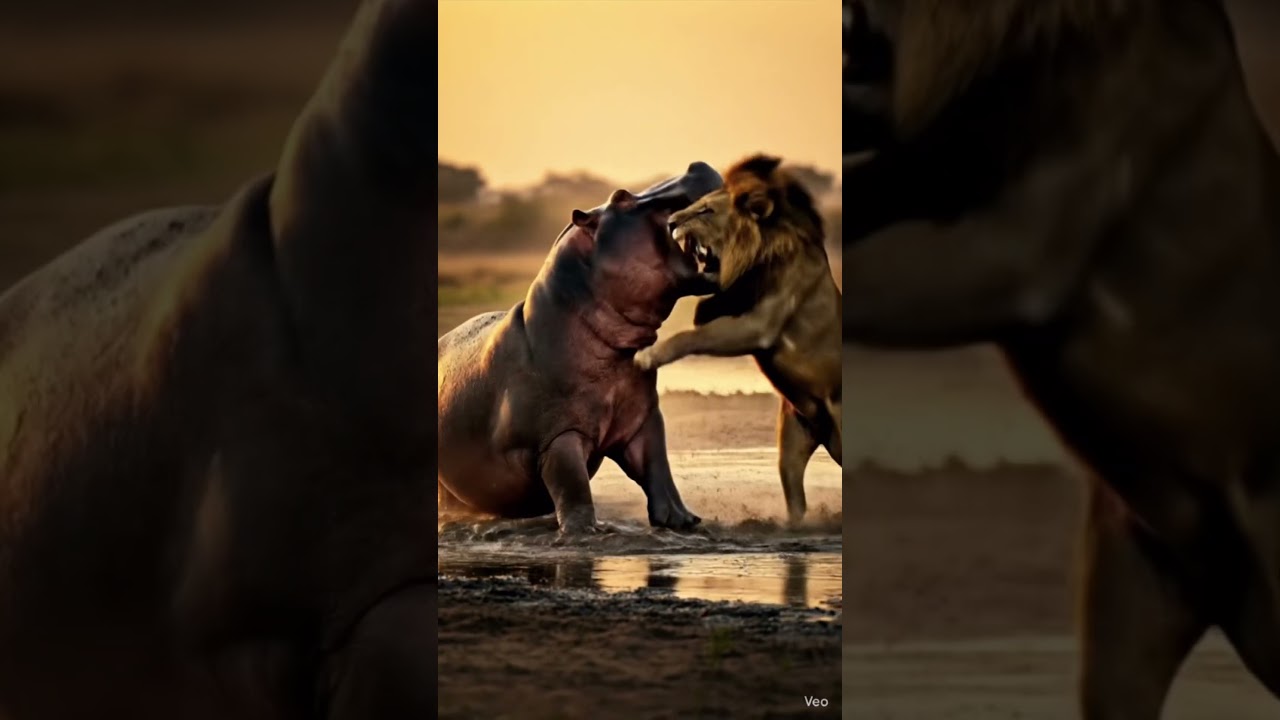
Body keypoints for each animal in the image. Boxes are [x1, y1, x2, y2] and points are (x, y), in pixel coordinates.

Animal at [437, 163, 723, 534]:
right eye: (621, 197)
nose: (696, 165)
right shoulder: (559, 437)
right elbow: (573, 487)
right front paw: (585, 532)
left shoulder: (644, 419)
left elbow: (659, 472)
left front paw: (685, 522)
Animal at [634, 155, 842, 524]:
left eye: (706, 210)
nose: (670, 222)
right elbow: (705, 312)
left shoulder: (759, 325)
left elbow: (693, 336)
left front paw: (647, 356)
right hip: (792, 440)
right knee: (796, 497)